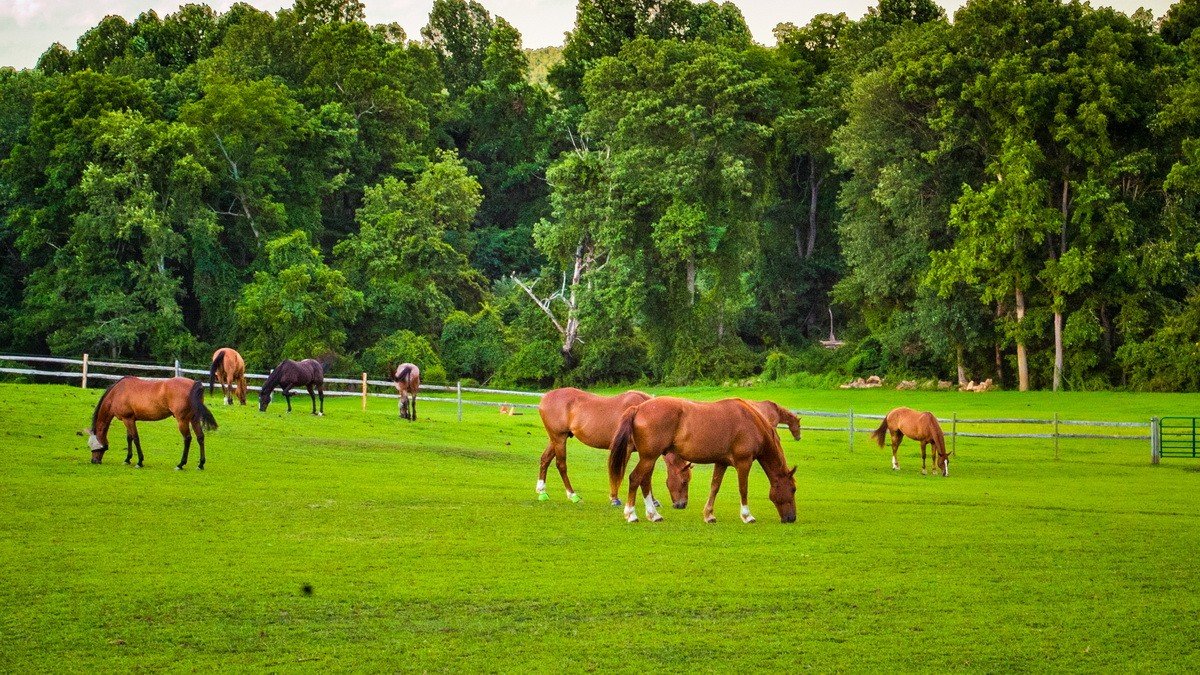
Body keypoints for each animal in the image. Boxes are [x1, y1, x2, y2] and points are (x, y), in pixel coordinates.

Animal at [87, 376, 217, 470]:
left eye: (92, 445)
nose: (94, 461)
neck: (117, 392)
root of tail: (194, 383)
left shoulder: (127, 419)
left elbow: (135, 438)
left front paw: (139, 462)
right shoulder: (129, 419)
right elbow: (129, 438)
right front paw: (127, 459)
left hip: (182, 420)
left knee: (188, 438)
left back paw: (180, 464)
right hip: (194, 419)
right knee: (200, 437)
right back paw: (200, 464)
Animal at [537, 387, 693, 508]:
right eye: (684, 481)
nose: (682, 504)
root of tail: (546, 397)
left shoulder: (647, 453)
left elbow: (646, 475)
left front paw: (653, 501)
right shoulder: (627, 449)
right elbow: (619, 472)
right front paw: (614, 498)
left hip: (556, 439)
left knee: (545, 459)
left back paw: (542, 492)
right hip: (559, 439)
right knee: (561, 464)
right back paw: (572, 495)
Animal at [608, 397, 797, 524]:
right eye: (793, 489)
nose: (791, 518)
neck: (750, 422)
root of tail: (638, 408)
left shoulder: (721, 463)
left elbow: (714, 487)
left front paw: (709, 515)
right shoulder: (744, 462)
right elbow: (743, 489)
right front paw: (747, 515)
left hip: (649, 458)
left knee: (645, 481)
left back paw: (653, 515)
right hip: (649, 457)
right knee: (635, 478)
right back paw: (631, 514)